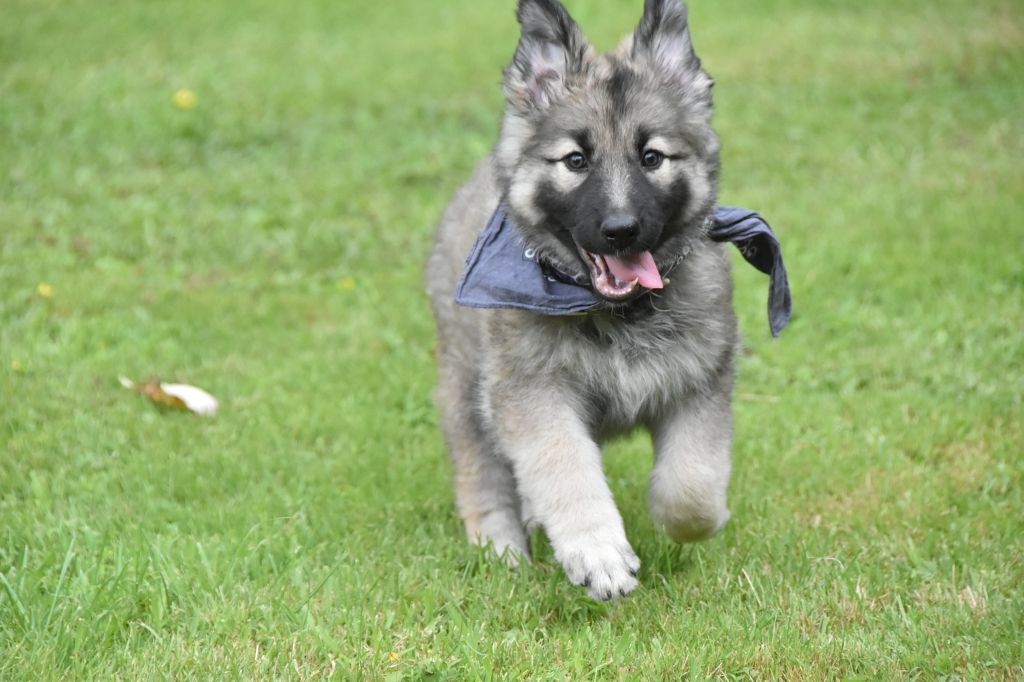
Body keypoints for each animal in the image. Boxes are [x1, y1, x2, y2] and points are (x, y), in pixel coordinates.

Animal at [426, 0, 760, 600]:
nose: (621, 231)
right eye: (576, 160)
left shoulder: (700, 383)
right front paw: (598, 552)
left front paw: (694, 520)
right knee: (481, 471)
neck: (619, 313)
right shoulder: (533, 394)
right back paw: (500, 547)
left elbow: (691, 483)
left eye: (652, 157)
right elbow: (564, 468)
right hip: (467, 386)